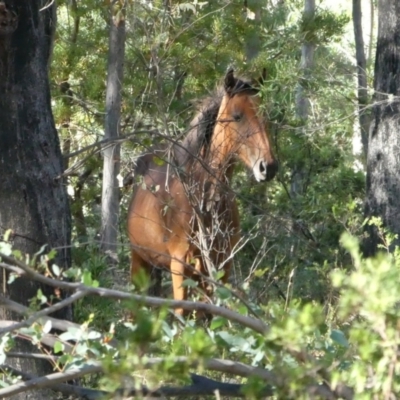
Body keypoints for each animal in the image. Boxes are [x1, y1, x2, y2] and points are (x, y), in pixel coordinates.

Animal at [126, 71, 276, 316]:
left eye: (265, 116)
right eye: (237, 116)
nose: (268, 167)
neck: (204, 201)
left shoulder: (221, 265)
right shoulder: (180, 265)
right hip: (139, 261)